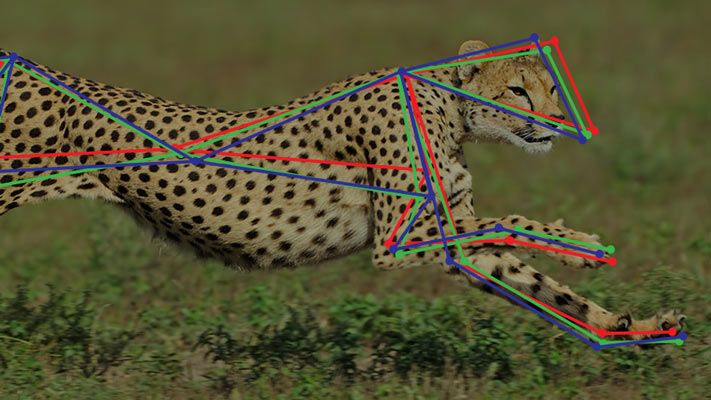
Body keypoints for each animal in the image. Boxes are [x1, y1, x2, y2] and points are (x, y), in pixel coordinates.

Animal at [0, 40, 685, 342]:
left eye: (547, 86)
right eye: (518, 91)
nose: (555, 122)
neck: (448, 109)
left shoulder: (449, 234)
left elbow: (540, 286)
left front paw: (633, 324)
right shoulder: (401, 235)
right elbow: (516, 227)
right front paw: (580, 243)